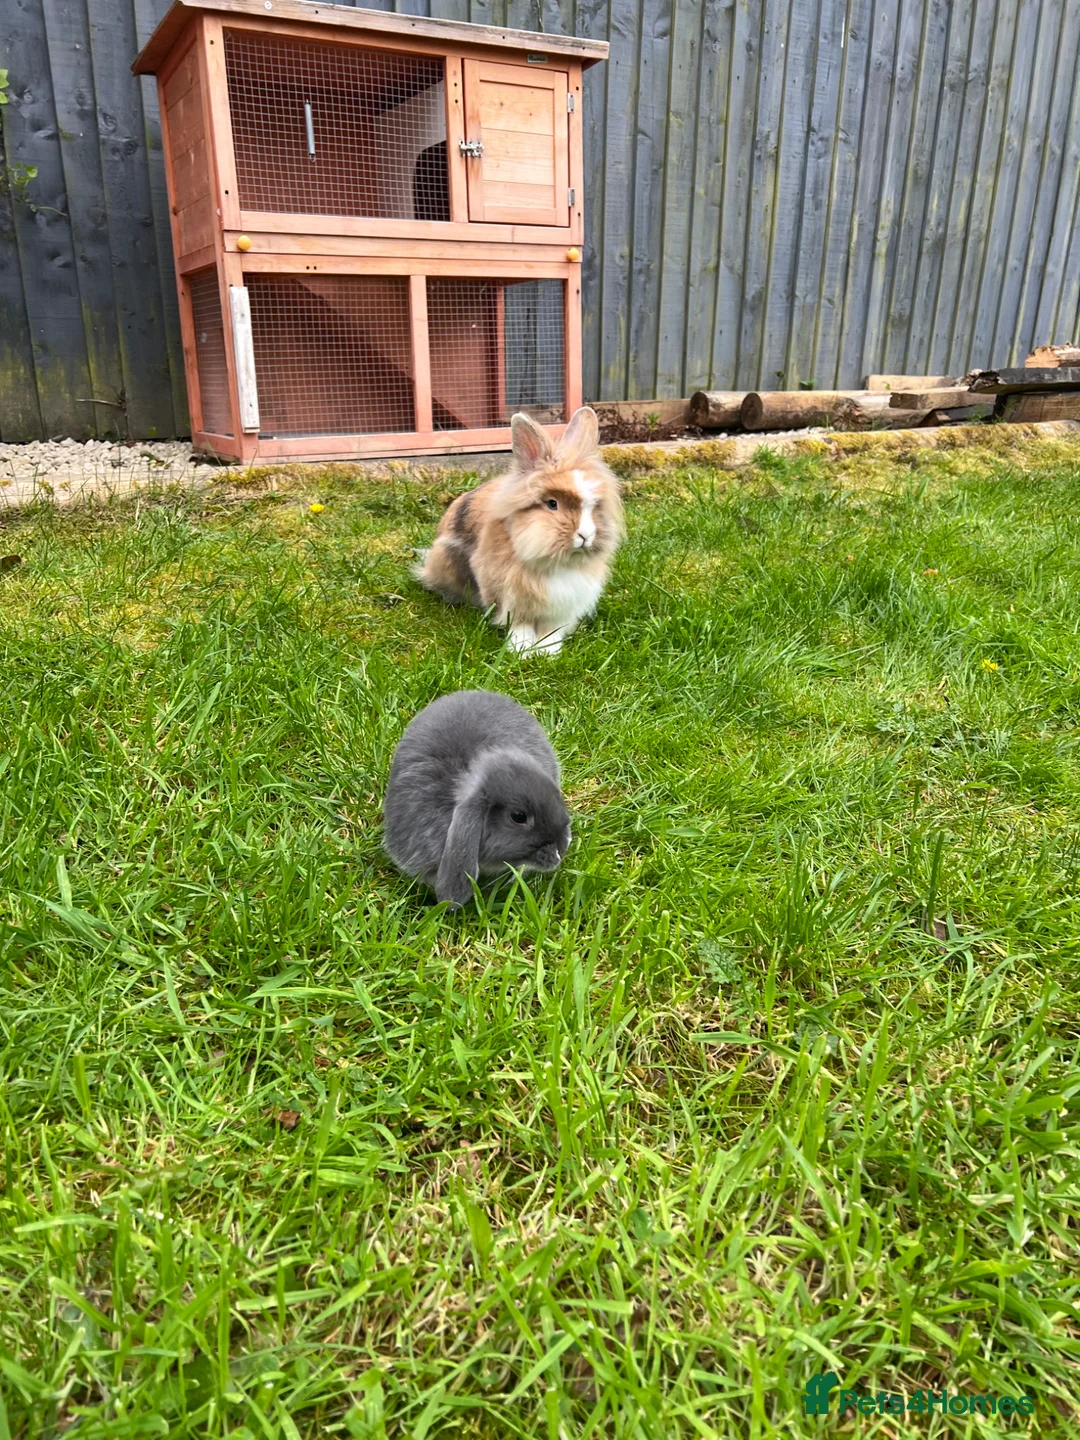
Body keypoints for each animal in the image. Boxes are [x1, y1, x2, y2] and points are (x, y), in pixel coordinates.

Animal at [415, 406, 624, 656]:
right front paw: (521, 650)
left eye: (595, 506)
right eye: (552, 504)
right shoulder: (510, 595)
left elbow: (551, 629)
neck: (555, 563)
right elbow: (519, 624)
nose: (585, 536)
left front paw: (548, 651)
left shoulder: (565, 603)